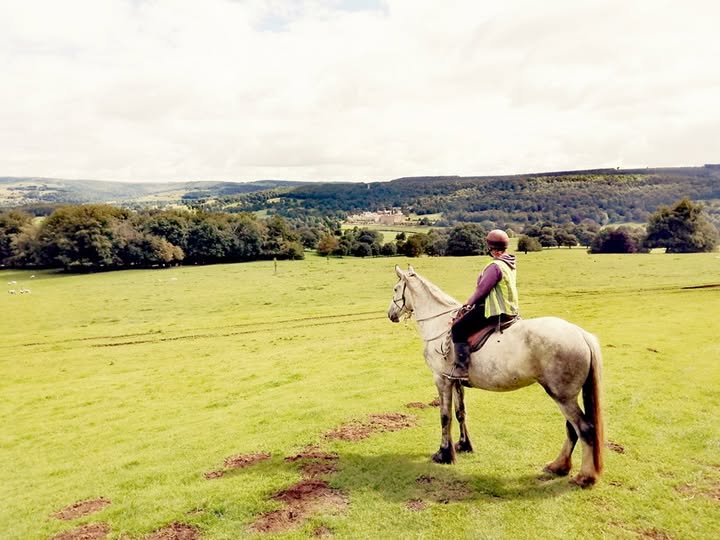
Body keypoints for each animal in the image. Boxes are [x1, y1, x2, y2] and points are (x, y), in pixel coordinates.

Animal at [387, 265, 605, 487]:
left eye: (396, 289)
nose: (391, 314)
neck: (439, 324)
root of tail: (581, 334)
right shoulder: (456, 381)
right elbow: (460, 413)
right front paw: (464, 445)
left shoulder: (441, 379)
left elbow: (445, 417)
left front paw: (444, 454)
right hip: (566, 397)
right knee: (572, 428)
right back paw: (558, 466)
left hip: (562, 396)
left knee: (584, 428)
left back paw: (584, 476)